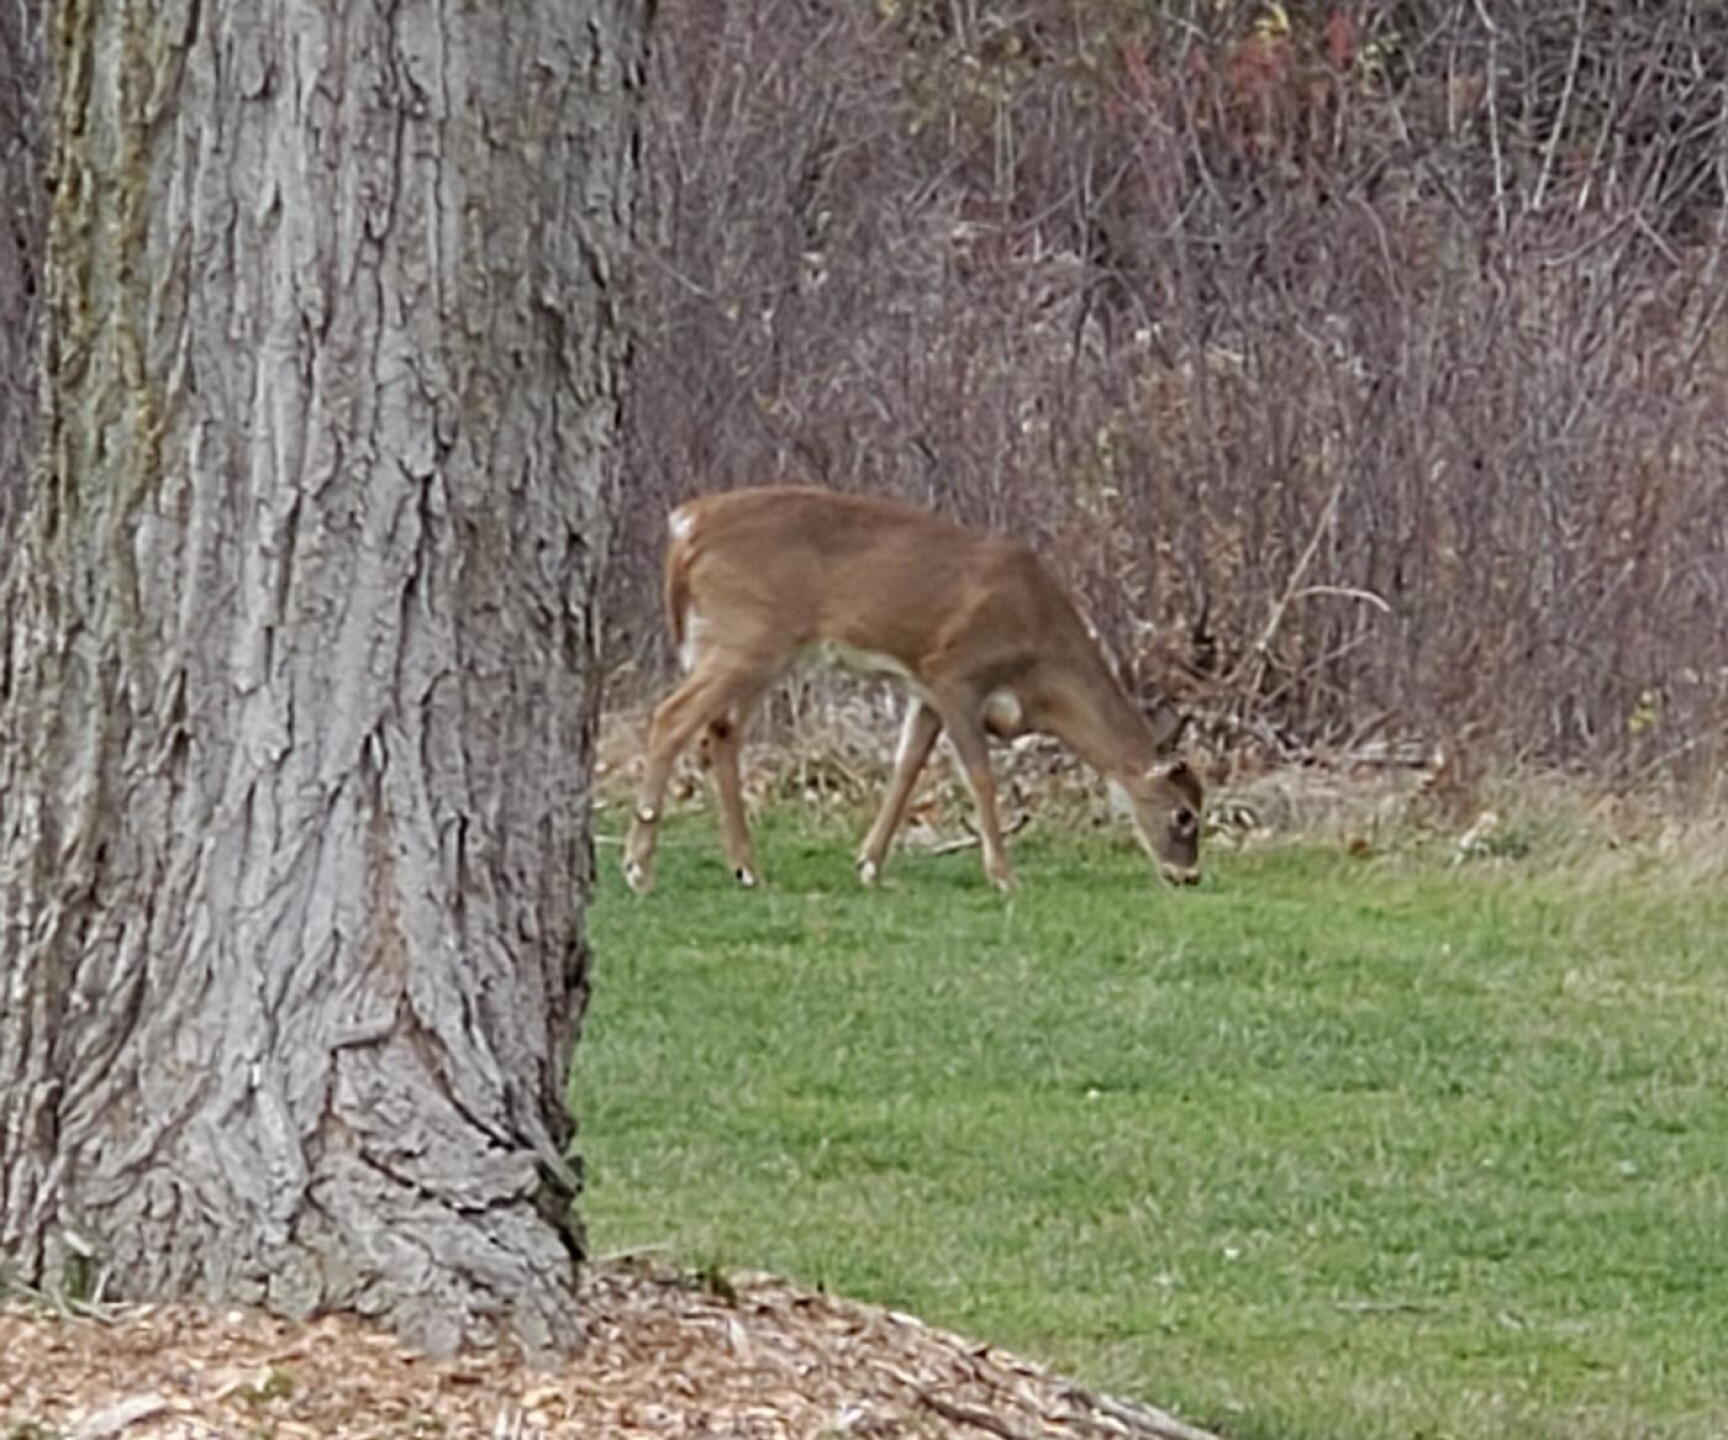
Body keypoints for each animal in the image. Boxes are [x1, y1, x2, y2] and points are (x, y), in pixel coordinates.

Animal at [622, 486, 1204, 895]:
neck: (1040, 666)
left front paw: (869, 864)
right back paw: (639, 869)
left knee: (721, 732)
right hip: (744, 636)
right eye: (1184, 815)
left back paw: (746, 868)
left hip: (757, 649)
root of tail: (686, 527)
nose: (1188, 876)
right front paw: (1004, 876)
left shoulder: (923, 691)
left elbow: (906, 769)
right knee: (670, 717)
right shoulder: (956, 673)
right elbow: (980, 777)